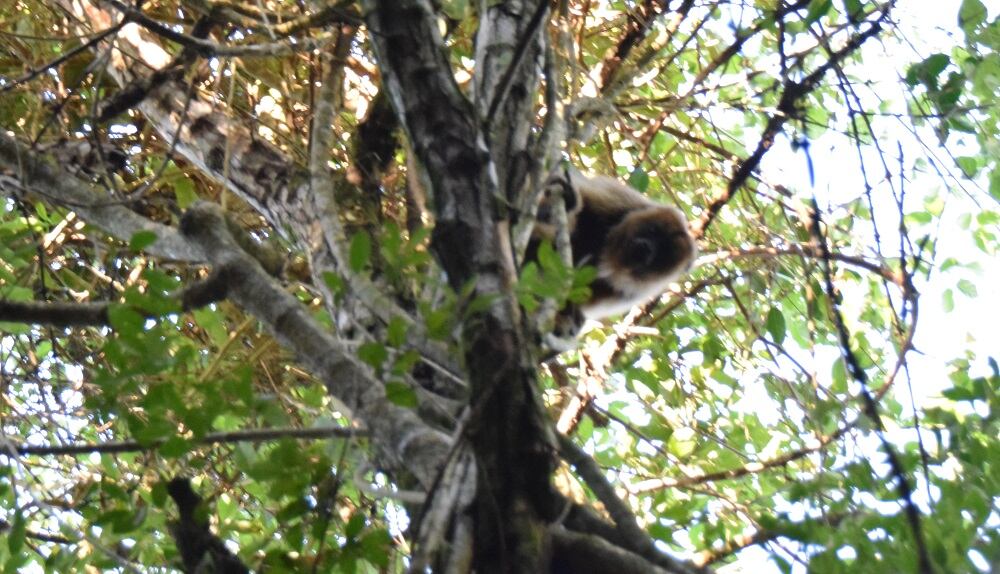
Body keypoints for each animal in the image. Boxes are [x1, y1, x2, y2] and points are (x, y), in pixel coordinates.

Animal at [532, 170, 696, 332]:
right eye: (653, 231)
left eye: (661, 255)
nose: (646, 247)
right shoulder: (621, 200)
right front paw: (568, 201)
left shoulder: (631, 292)